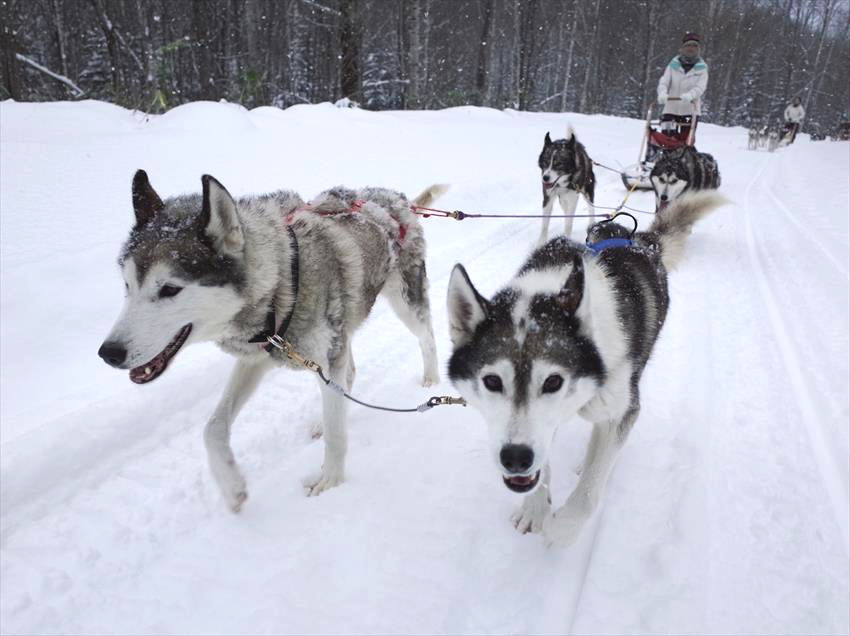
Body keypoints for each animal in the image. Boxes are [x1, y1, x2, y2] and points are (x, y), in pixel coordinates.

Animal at [97, 170, 444, 512]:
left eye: (170, 288)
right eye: (127, 285)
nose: (108, 353)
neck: (284, 281)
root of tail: (397, 199)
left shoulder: (324, 354)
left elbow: (336, 435)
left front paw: (330, 483)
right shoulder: (256, 359)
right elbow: (213, 428)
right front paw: (232, 486)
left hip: (404, 304)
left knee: (426, 338)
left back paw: (430, 379)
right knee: (348, 375)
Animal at [444, 190, 724, 548]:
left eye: (553, 382)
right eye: (492, 381)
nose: (516, 458)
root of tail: (639, 240)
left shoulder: (620, 410)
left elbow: (589, 492)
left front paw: (561, 529)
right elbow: (544, 460)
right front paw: (536, 507)